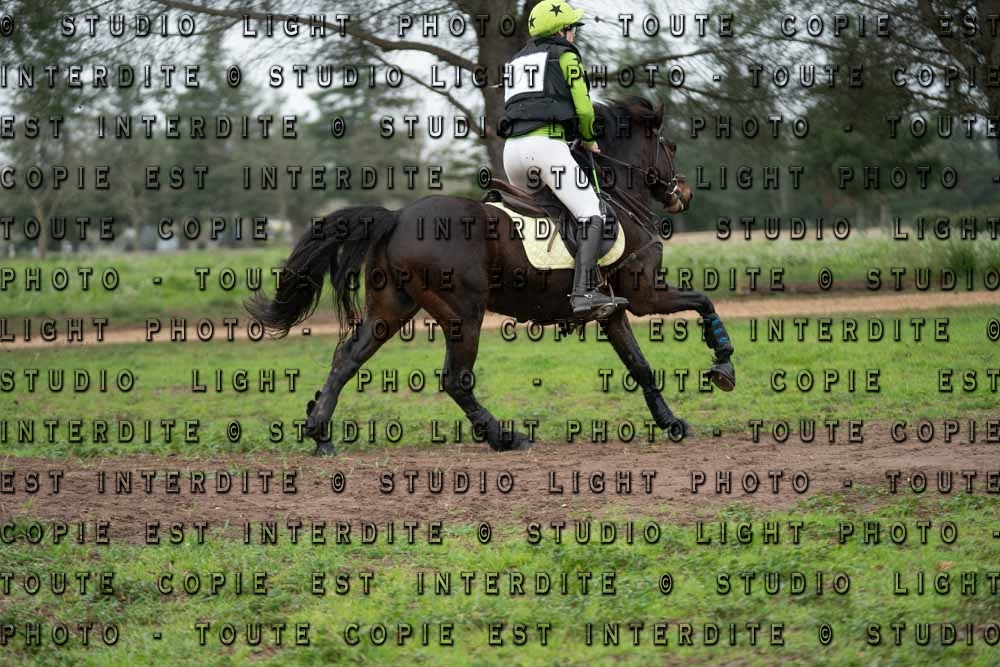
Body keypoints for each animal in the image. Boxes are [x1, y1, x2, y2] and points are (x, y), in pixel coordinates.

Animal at [247, 96, 736, 455]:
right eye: (670, 147)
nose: (683, 193)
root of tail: (399, 217)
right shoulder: (645, 294)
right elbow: (703, 301)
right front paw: (723, 365)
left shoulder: (613, 311)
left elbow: (641, 365)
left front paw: (671, 422)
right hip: (464, 313)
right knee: (455, 380)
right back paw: (505, 437)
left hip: (392, 309)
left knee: (347, 359)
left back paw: (320, 434)